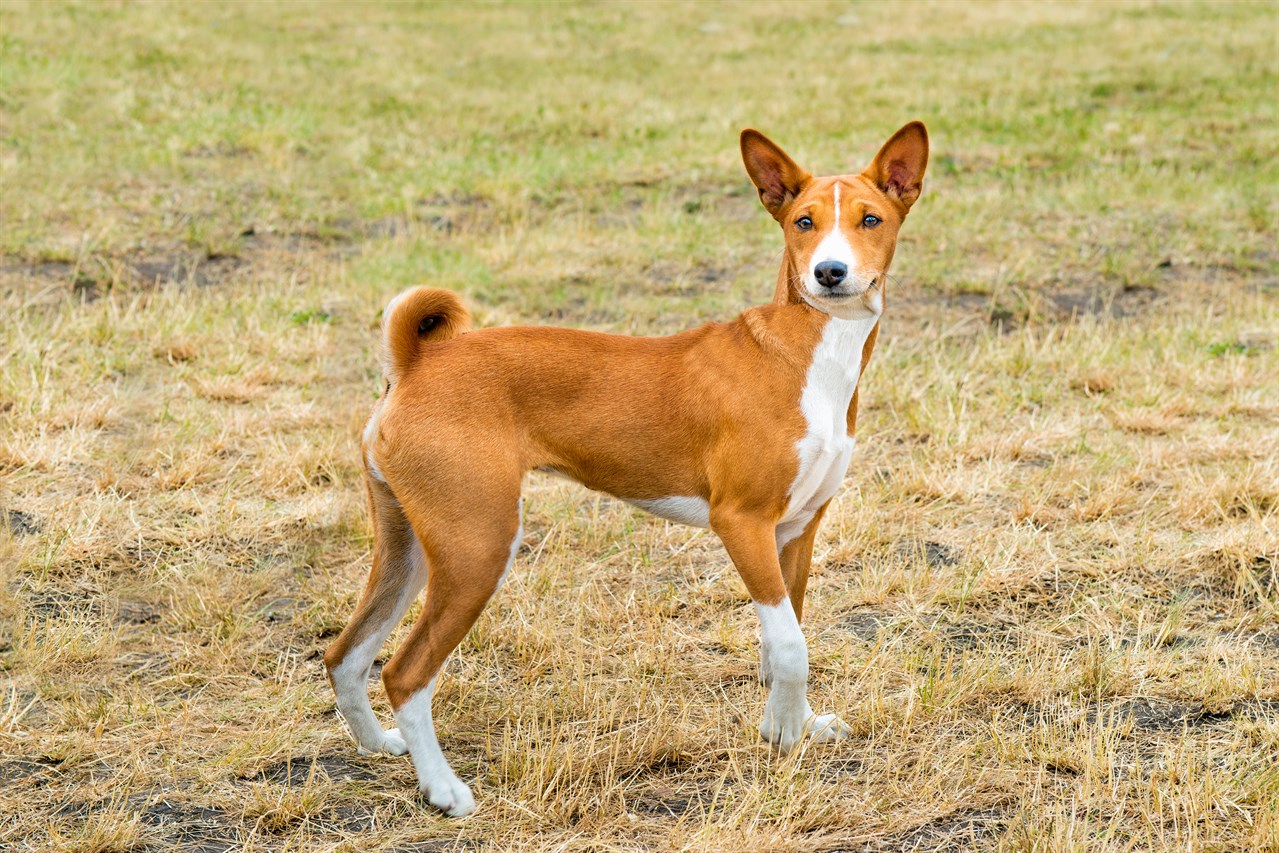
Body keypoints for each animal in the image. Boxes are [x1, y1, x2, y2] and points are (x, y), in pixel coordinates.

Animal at [324, 123, 931, 818]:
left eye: (869, 219)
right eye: (803, 221)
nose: (830, 272)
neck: (805, 357)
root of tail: (417, 361)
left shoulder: (796, 529)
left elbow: (788, 638)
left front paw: (798, 724)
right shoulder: (742, 523)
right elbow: (790, 647)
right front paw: (781, 734)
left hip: (412, 546)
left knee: (345, 655)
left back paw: (378, 745)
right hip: (478, 547)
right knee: (404, 672)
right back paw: (444, 789)